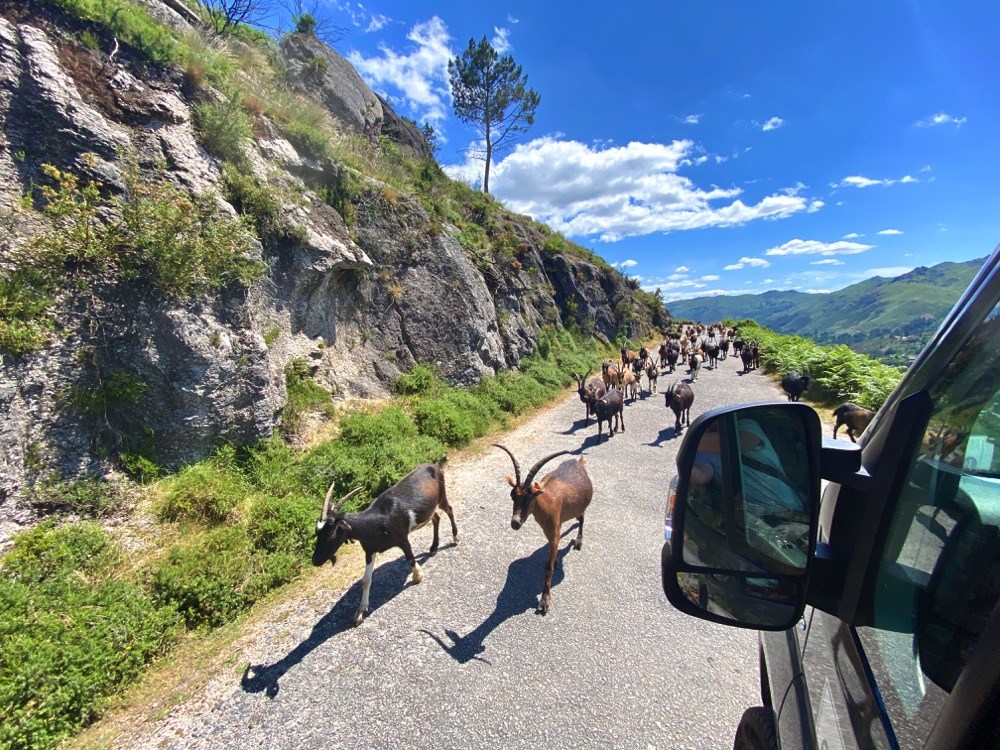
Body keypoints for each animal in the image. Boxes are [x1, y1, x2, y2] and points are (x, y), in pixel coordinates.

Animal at [492, 446, 592, 616]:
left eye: (530, 497)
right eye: (512, 496)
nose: (515, 523)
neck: (546, 502)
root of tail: (578, 462)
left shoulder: (553, 534)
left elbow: (548, 567)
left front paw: (545, 601)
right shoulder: (554, 531)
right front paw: (555, 558)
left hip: (580, 507)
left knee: (582, 518)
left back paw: (578, 541)